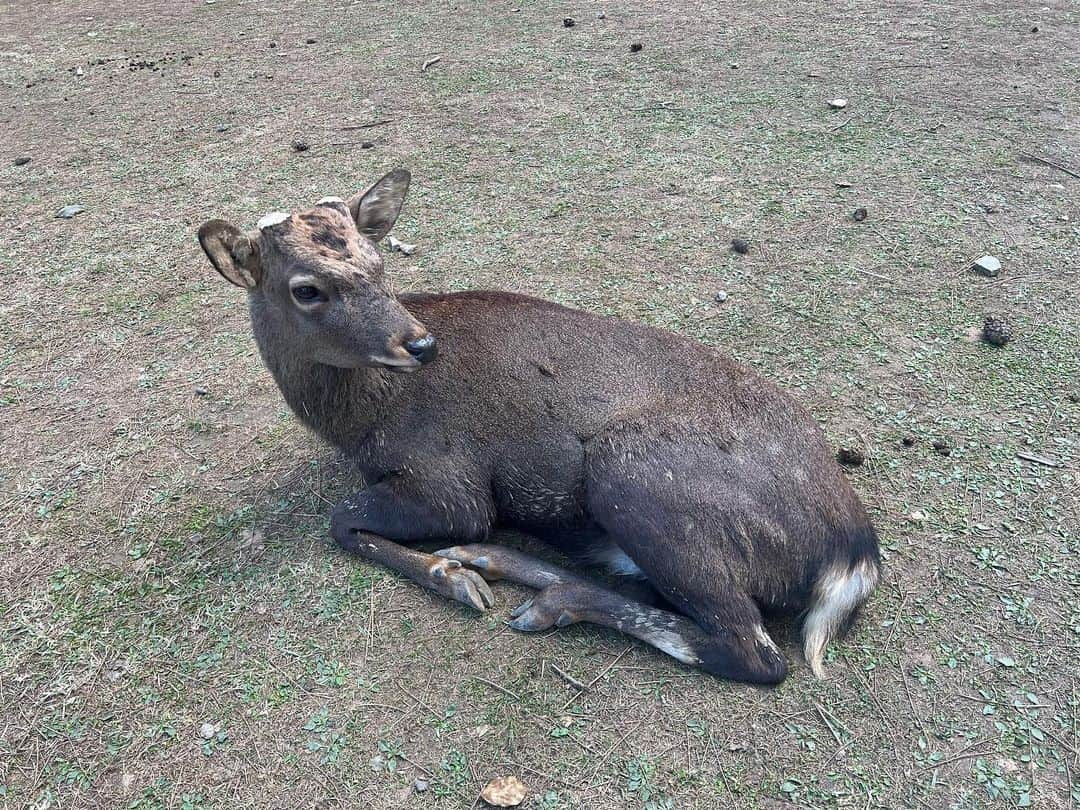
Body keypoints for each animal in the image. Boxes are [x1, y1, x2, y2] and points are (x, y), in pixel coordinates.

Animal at [198, 169, 881, 686]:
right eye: (306, 288)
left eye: (378, 262)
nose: (420, 344)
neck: (360, 424)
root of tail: (854, 555)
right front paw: (460, 570)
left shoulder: (449, 481)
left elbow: (341, 521)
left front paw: (453, 580)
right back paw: (505, 566)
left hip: (632, 475)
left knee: (753, 651)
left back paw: (536, 593)